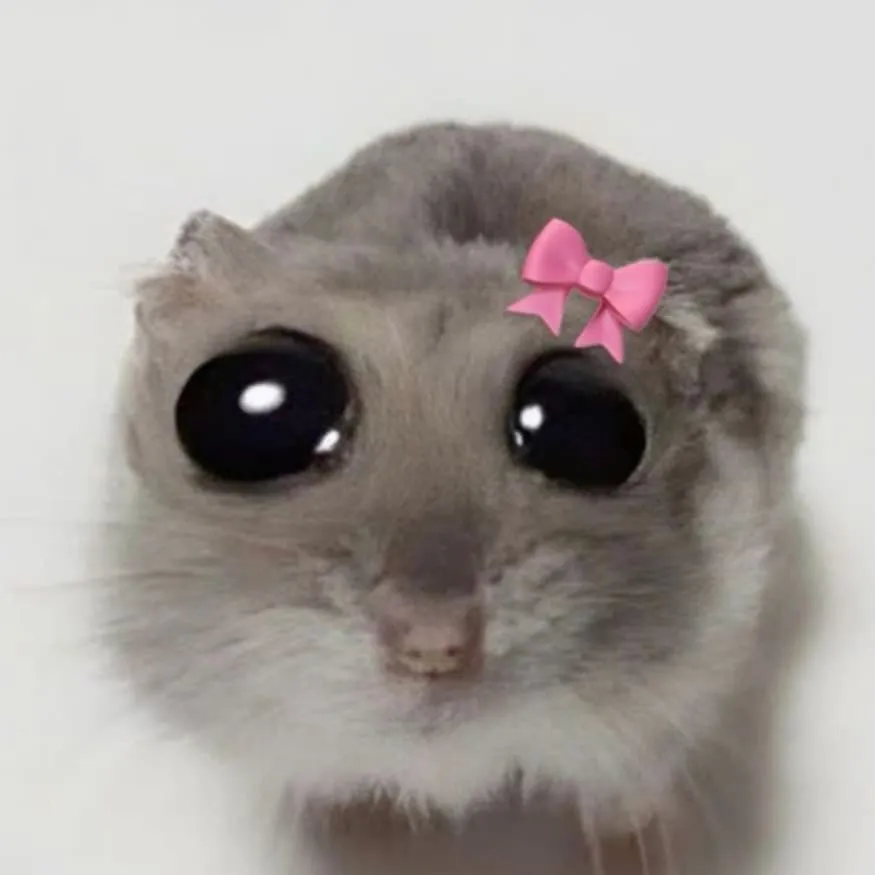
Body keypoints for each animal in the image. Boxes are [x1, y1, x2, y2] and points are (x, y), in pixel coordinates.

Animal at [111, 122, 807, 874]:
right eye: (251, 412)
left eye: (584, 427)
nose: (432, 644)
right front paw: (363, 844)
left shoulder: (668, 704)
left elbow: (623, 803)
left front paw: (643, 860)